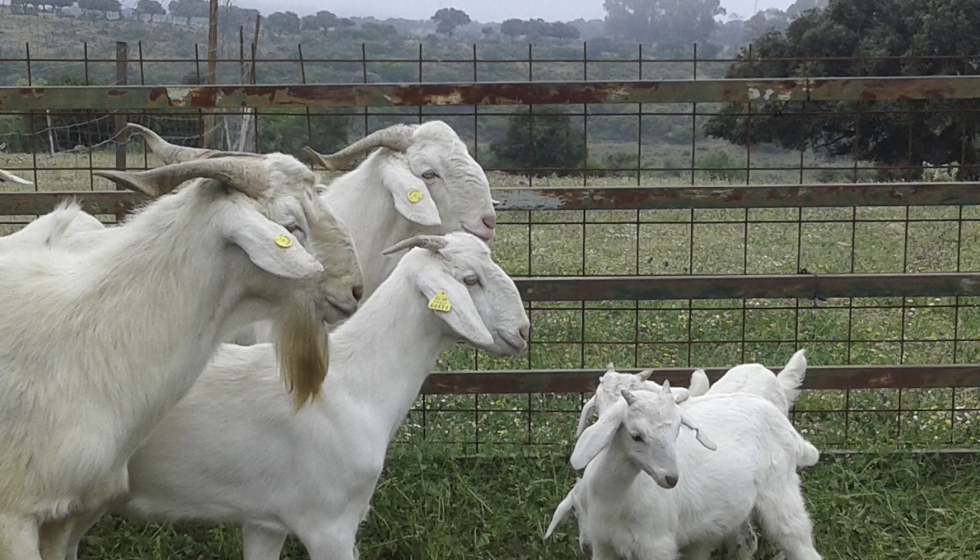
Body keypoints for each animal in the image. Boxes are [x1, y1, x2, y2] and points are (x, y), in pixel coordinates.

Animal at [560, 384, 820, 560]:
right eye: (636, 436)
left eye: (677, 431)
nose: (671, 478)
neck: (618, 499)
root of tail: (789, 429)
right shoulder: (604, 544)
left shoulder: (657, 545)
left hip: (781, 491)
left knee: (799, 541)